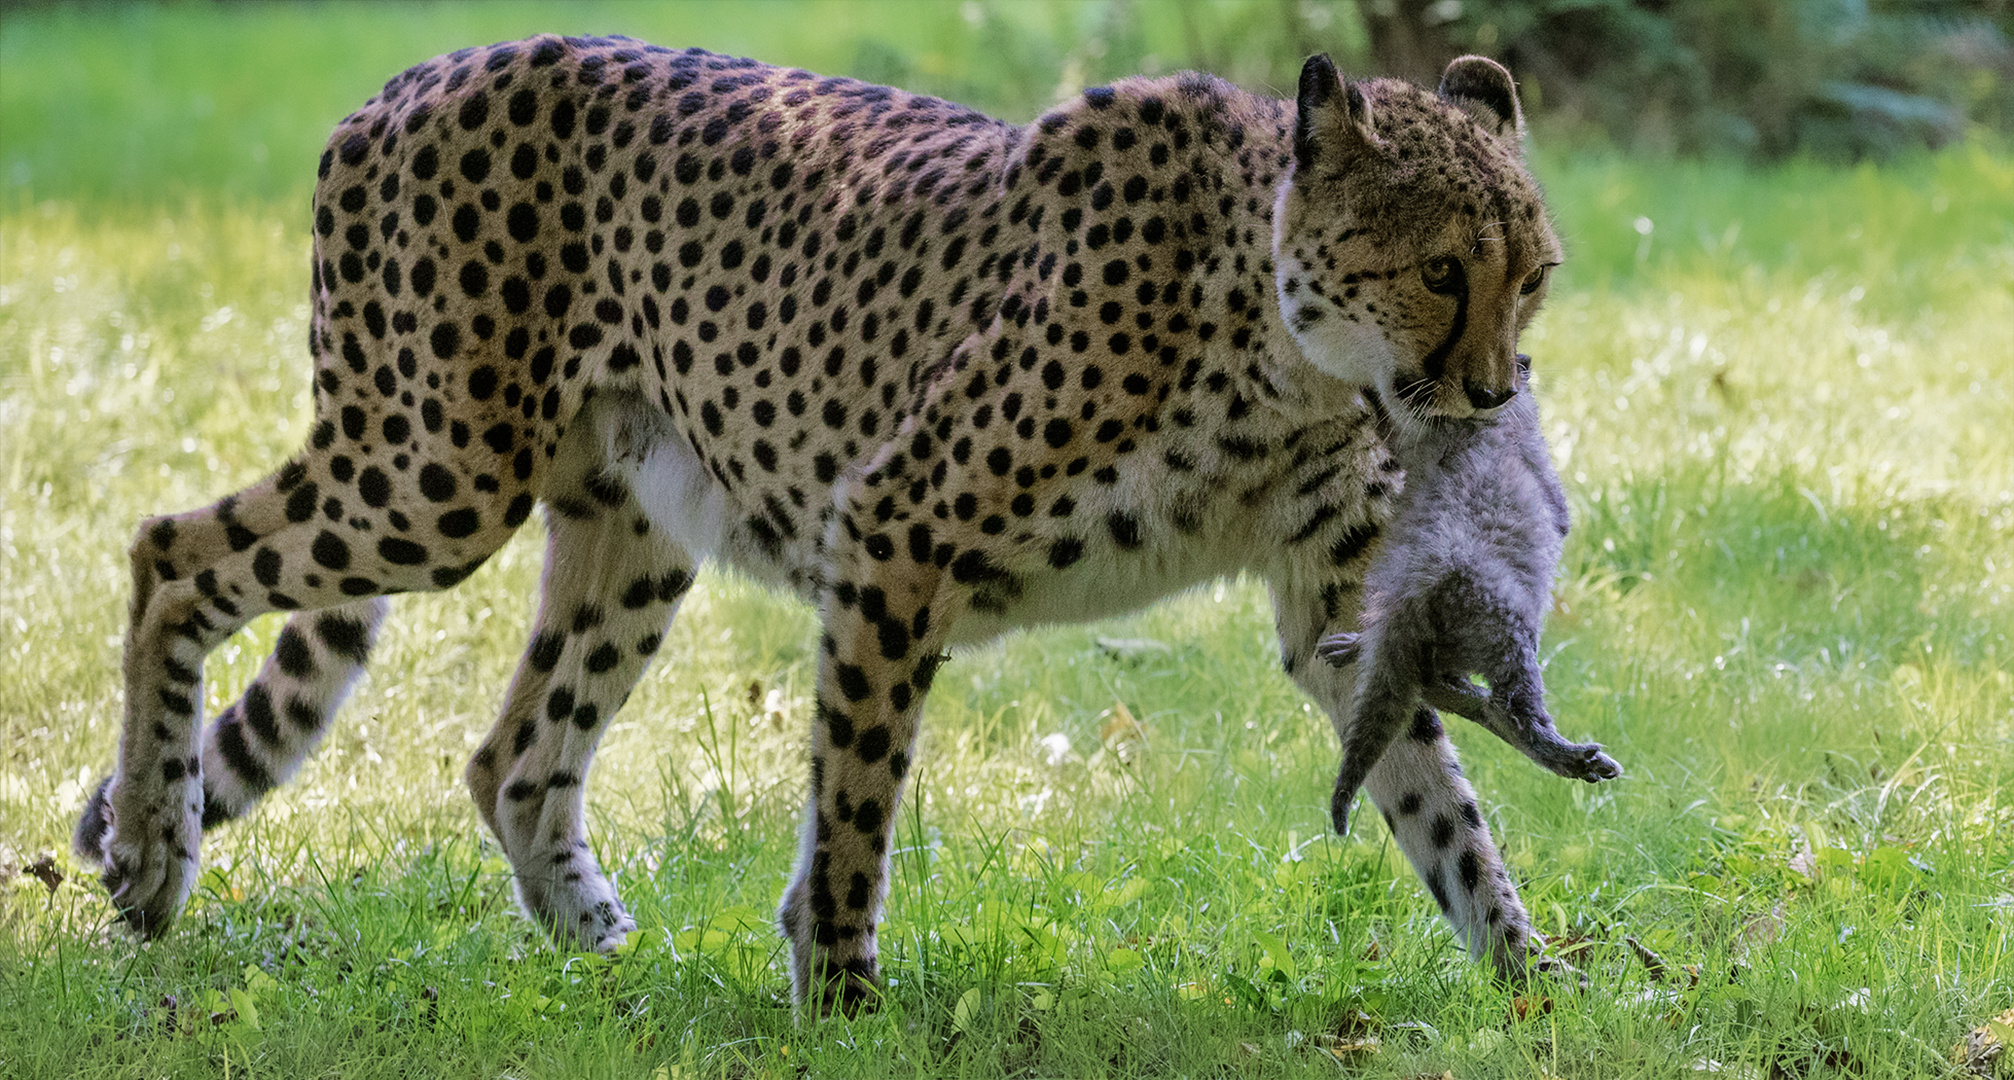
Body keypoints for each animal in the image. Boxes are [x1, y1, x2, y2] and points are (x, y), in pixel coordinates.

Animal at [66, 33, 1570, 1011]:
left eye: (1534, 277)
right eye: (1443, 271)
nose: (1498, 390)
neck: (1282, 349)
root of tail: (414, 75)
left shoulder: (1330, 606)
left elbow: (1443, 807)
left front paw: (1529, 984)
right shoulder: (895, 528)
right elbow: (856, 793)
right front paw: (841, 996)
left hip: (634, 528)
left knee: (512, 755)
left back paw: (604, 962)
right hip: (436, 476)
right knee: (169, 553)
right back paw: (151, 852)